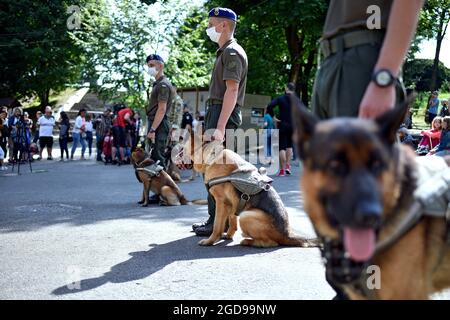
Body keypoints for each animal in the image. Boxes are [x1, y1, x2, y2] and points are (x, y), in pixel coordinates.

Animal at [181, 132, 322, 248]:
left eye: (182, 149)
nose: (177, 153)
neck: (211, 155)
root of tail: (287, 234)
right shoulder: (232, 203)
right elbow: (232, 221)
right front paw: (228, 235)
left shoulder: (221, 202)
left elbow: (217, 226)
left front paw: (210, 241)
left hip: (246, 216)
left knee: (271, 243)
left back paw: (247, 241)